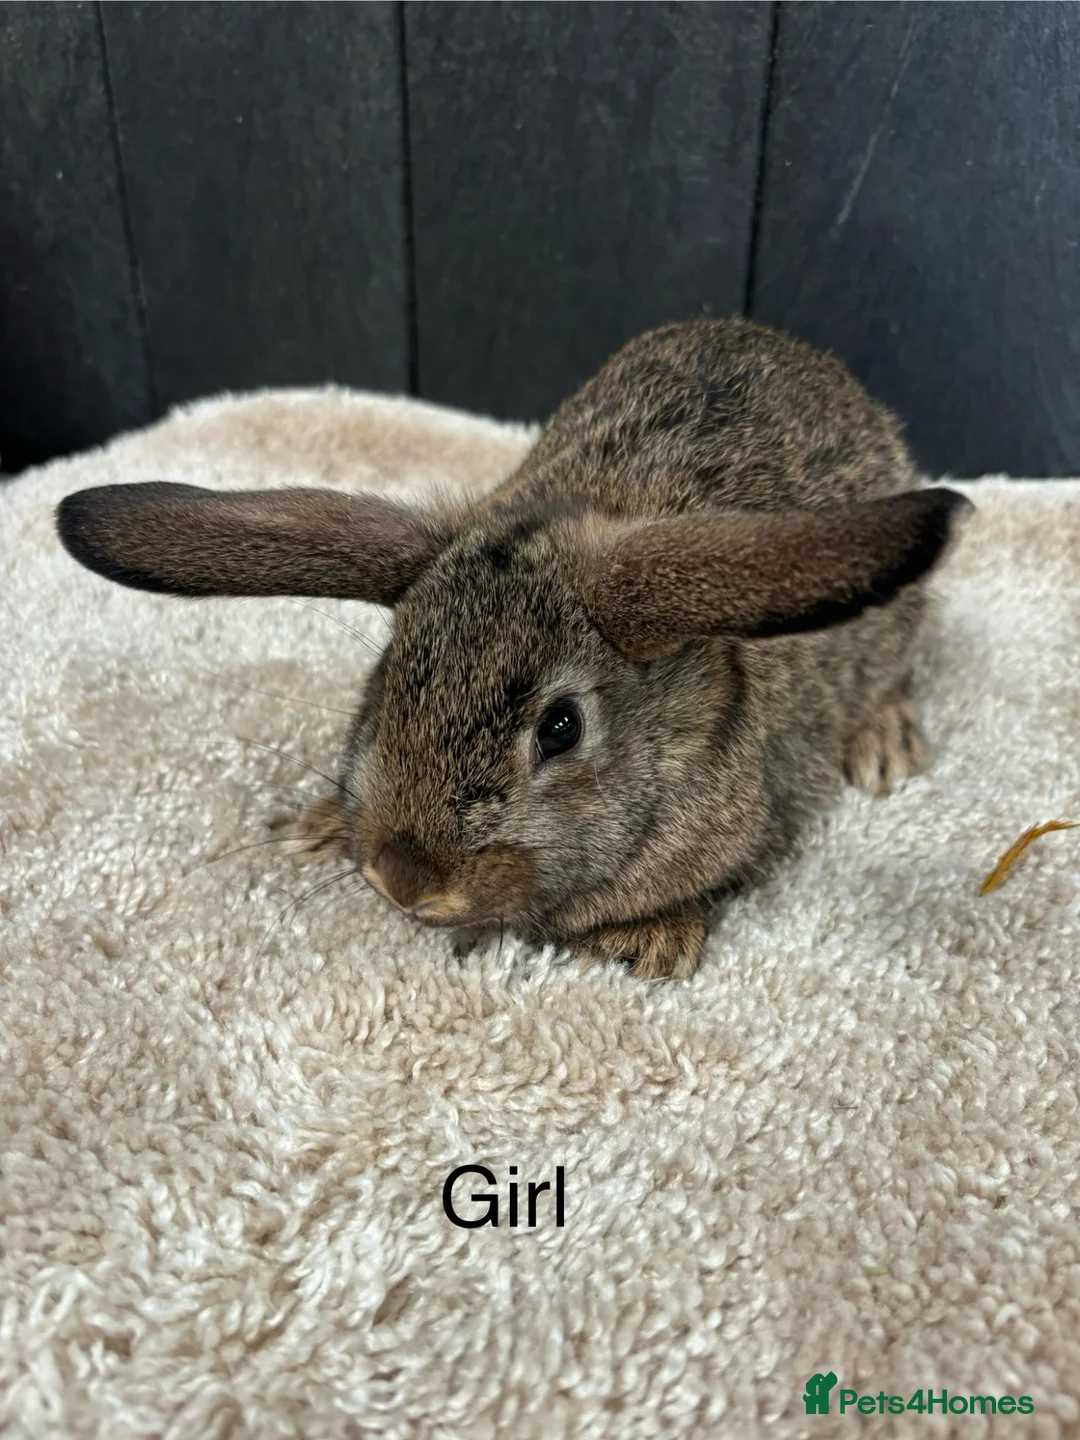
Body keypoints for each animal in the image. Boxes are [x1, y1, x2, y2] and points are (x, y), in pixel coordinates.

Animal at [56, 318, 971, 979]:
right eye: (390, 678)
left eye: (560, 728)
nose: (404, 882)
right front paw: (315, 826)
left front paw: (652, 944)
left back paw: (885, 746)